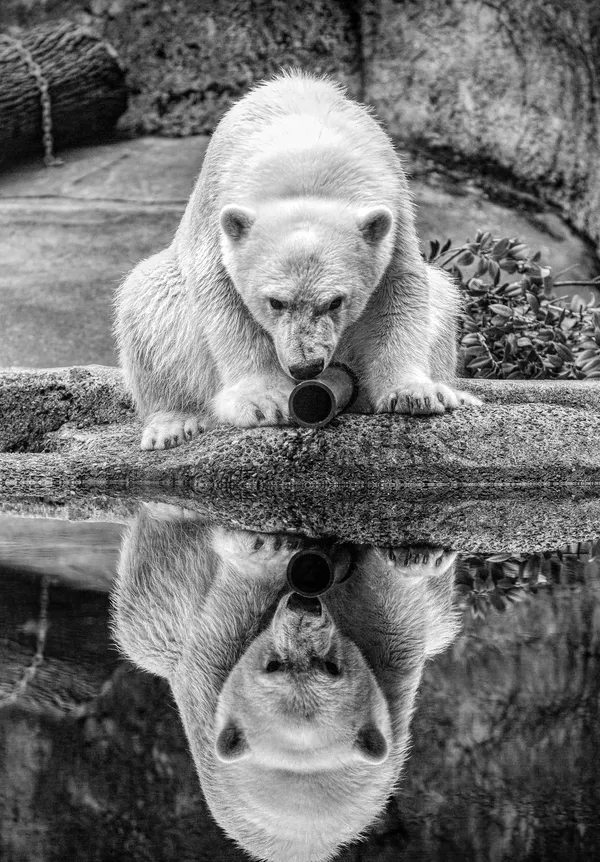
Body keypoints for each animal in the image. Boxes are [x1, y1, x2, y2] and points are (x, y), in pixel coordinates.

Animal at [112, 503, 461, 861]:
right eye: (274, 665)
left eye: (331, 667)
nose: (303, 608)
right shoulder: (209, 703)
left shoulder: (393, 710)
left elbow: (398, 625)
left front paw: (413, 559)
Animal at [114, 70, 481, 450]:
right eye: (275, 302)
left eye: (335, 301)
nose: (307, 368)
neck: (305, 149)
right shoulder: (217, 211)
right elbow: (223, 299)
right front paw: (264, 402)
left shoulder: (394, 208)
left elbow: (400, 290)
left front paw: (415, 394)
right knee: (149, 300)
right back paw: (173, 422)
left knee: (442, 294)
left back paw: (459, 394)